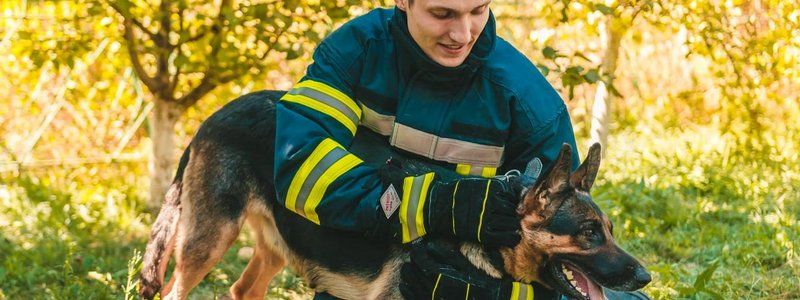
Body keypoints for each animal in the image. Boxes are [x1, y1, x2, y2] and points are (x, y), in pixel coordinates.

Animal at [138, 91, 648, 300]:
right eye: (588, 233)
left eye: (610, 230)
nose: (645, 277)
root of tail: (214, 115)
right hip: (208, 241)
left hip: (278, 246)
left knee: (244, 290)